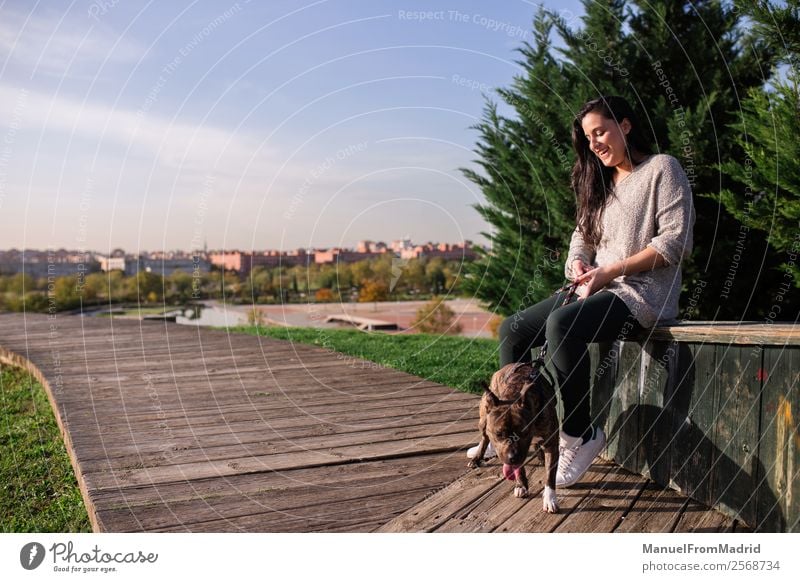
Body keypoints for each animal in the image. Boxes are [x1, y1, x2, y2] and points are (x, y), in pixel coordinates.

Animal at [466, 362, 560, 512]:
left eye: (524, 433)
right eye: (498, 434)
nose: (512, 457)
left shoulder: (551, 443)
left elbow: (550, 475)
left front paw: (550, 499)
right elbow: (519, 468)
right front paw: (521, 485)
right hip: (483, 419)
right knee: (485, 438)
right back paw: (477, 458)